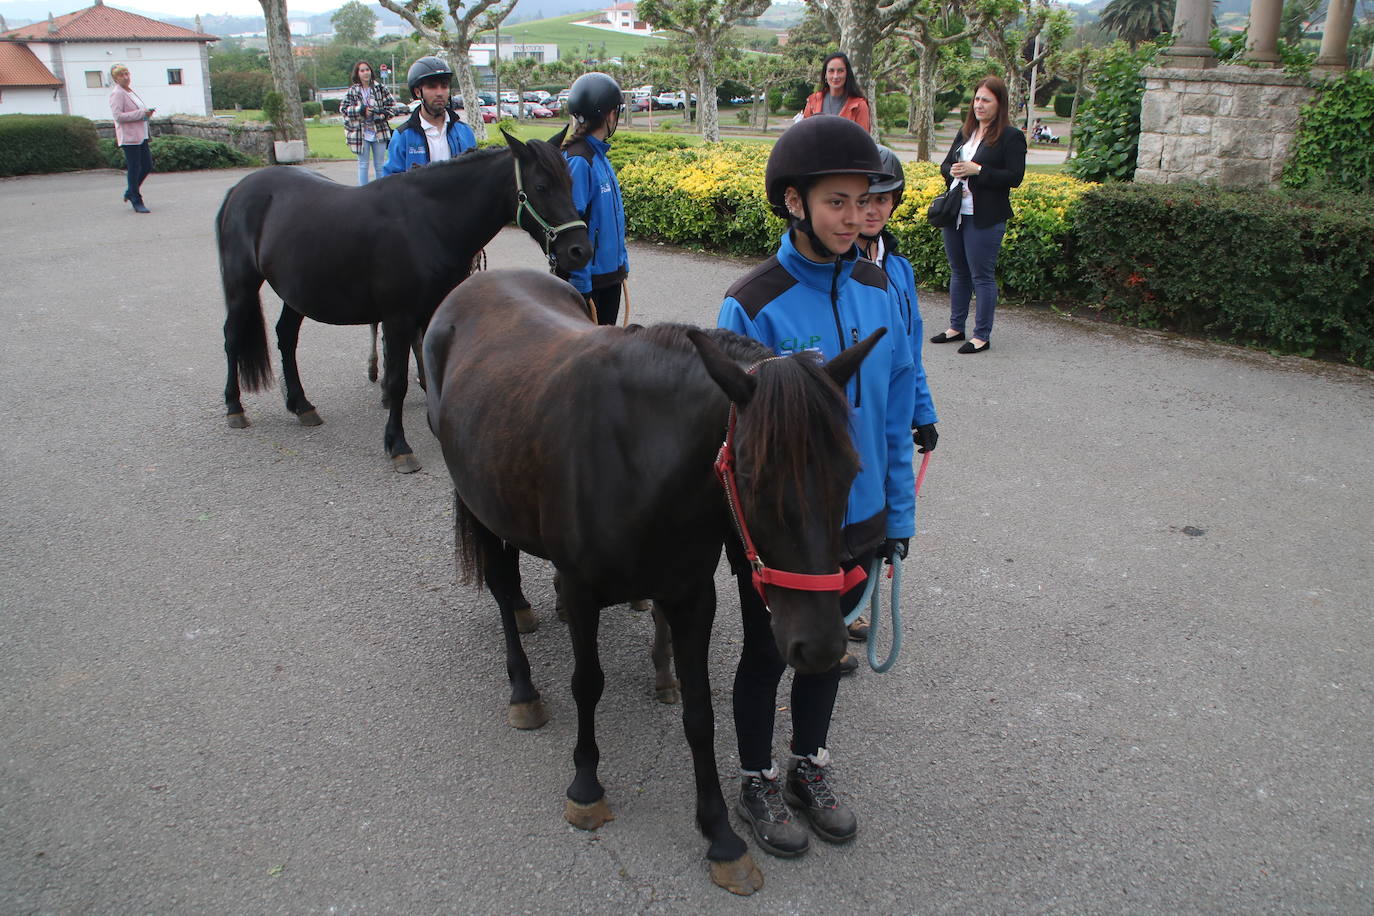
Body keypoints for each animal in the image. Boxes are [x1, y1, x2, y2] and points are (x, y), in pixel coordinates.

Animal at [211, 129, 588, 472]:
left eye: (570, 182)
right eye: (541, 187)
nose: (580, 250)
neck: (428, 222)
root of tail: (240, 189)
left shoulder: (431, 312)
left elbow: (429, 368)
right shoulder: (397, 318)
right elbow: (397, 382)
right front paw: (398, 445)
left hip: (297, 292)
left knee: (286, 337)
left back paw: (302, 405)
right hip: (241, 284)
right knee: (232, 337)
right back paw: (234, 407)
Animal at [423, 266, 884, 895]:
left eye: (851, 472)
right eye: (753, 478)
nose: (821, 646)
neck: (637, 455)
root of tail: (472, 284)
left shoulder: (691, 596)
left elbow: (700, 712)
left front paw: (720, 835)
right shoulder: (584, 589)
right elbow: (586, 683)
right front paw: (586, 788)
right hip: (480, 506)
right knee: (500, 586)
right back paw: (523, 689)